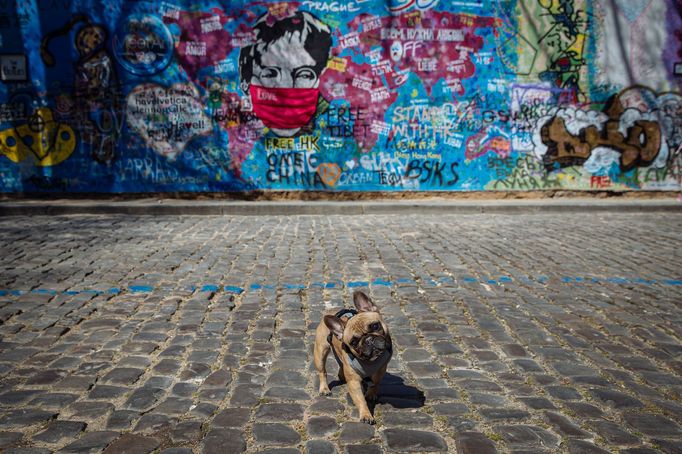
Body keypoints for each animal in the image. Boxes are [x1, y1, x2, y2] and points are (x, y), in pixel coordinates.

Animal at [312, 290, 390, 426]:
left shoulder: (381, 369)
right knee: (322, 371)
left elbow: (375, 382)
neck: (369, 362)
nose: (368, 340)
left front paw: (371, 394)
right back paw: (324, 388)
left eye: (375, 326)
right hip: (320, 352)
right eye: (353, 342)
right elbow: (360, 399)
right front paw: (366, 415)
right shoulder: (354, 382)